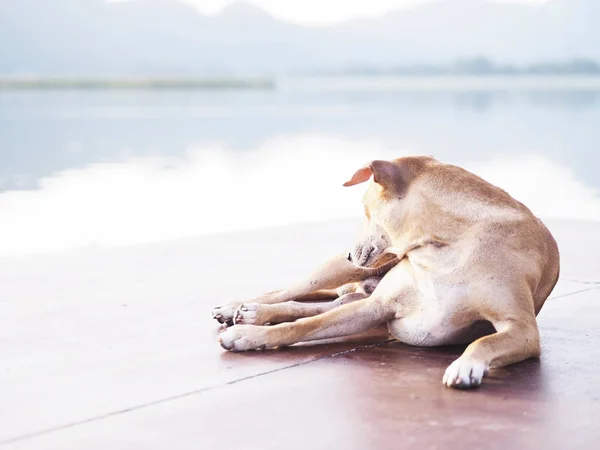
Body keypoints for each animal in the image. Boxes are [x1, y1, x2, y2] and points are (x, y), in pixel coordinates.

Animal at [213, 156, 560, 388]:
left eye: (366, 211)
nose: (350, 253)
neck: (444, 246)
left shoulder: (523, 328)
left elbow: (484, 341)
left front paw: (466, 364)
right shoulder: (377, 306)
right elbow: (304, 325)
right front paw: (248, 336)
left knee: (322, 304)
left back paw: (251, 313)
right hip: (338, 273)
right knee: (290, 294)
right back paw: (242, 309)